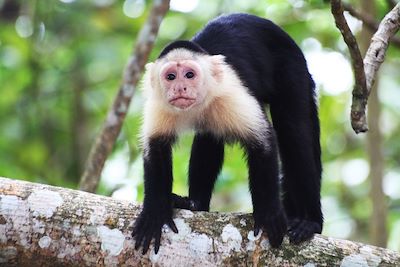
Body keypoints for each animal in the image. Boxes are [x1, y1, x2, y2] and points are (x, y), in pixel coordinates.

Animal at [133, 14, 324, 255]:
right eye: (171, 76)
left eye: (189, 75)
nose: (180, 89)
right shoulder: (158, 104)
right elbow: (155, 149)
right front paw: (155, 212)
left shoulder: (230, 92)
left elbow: (263, 141)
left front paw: (268, 213)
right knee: (208, 137)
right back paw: (196, 204)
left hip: (293, 69)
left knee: (294, 133)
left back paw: (311, 222)